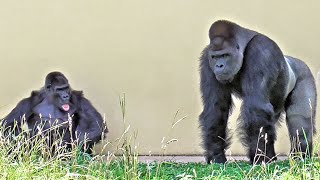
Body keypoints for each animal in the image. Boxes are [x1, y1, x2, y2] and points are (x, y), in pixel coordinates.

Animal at [199, 20, 316, 165]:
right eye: (214, 57)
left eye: (225, 55)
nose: (219, 66)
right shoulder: (206, 59)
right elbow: (216, 109)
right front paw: (217, 155)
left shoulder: (261, 50)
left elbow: (256, 108)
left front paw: (260, 158)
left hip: (305, 73)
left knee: (299, 120)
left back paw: (300, 156)